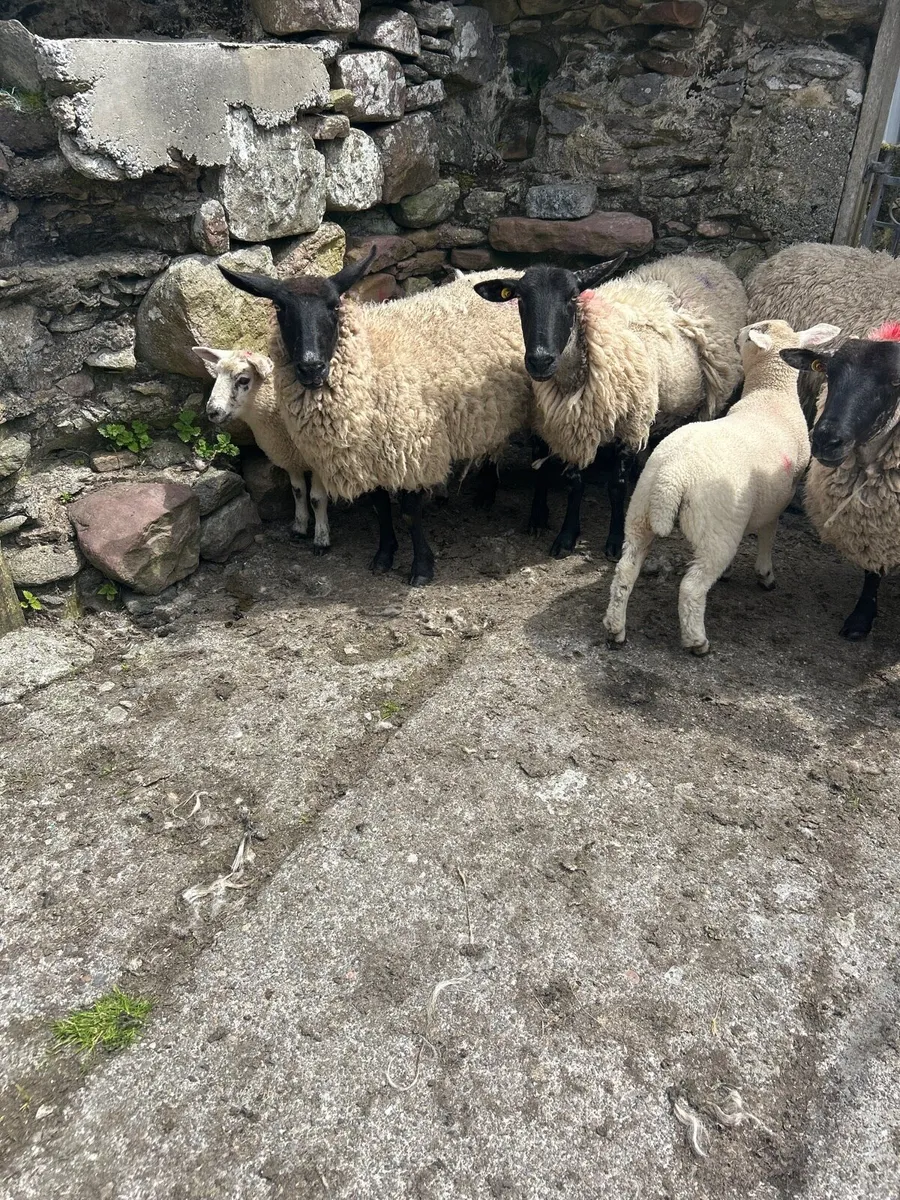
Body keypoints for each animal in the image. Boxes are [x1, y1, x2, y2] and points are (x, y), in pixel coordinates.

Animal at [192, 346, 332, 555]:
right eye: (217, 375)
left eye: (243, 380)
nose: (212, 412)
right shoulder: (290, 456)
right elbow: (298, 491)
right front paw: (299, 528)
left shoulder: (319, 460)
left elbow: (316, 499)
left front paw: (321, 540)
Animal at [217, 250, 534, 586]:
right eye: (279, 307)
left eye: (334, 305)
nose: (311, 367)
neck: (371, 362)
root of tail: (509, 270)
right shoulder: (369, 457)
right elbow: (380, 508)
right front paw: (383, 556)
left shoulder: (412, 451)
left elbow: (408, 513)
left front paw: (421, 568)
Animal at [475, 253, 748, 560]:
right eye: (520, 298)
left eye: (573, 297)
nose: (540, 360)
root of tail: (704, 260)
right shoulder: (574, 428)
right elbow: (575, 483)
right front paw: (567, 536)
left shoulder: (631, 426)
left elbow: (616, 487)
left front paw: (616, 541)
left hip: (712, 396)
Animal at [602, 319, 841, 656]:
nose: (737, 334)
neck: (770, 395)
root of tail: (671, 477)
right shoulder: (778, 498)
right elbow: (768, 535)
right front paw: (765, 575)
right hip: (715, 528)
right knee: (691, 587)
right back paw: (697, 641)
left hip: (640, 511)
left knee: (625, 570)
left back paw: (615, 629)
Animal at [781, 321, 900, 641]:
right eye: (827, 372)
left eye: (897, 380)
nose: (825, 440)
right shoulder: (874, 519)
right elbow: (873, 567)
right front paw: (860, 619)